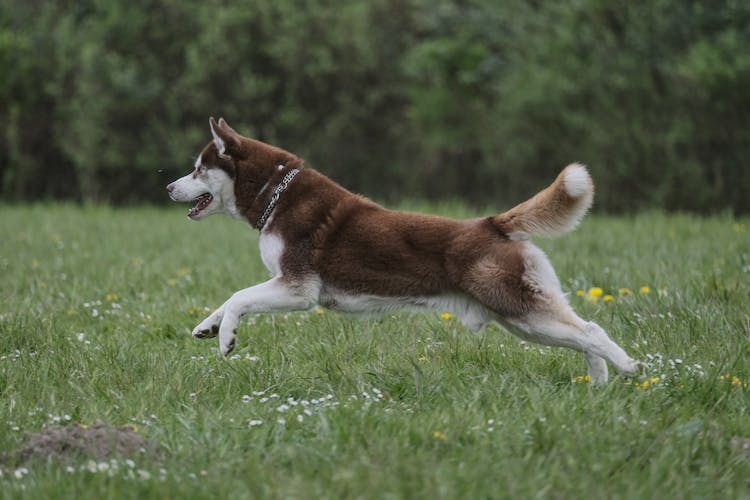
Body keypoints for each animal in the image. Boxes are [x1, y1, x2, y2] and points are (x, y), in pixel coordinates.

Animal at [167, 117, 644, 382]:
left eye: (198, 169)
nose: (169, 187)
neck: (274, 194)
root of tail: (493, 222)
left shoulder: (297, 290)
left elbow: (239, 297)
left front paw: (227, 338)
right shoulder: (284, 285)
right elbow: (230, 298)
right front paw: (208, 327)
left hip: (519, 309)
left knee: (592, 332)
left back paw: (629, 370)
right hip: (523, 321)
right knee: (584, 333)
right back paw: (599, 385)